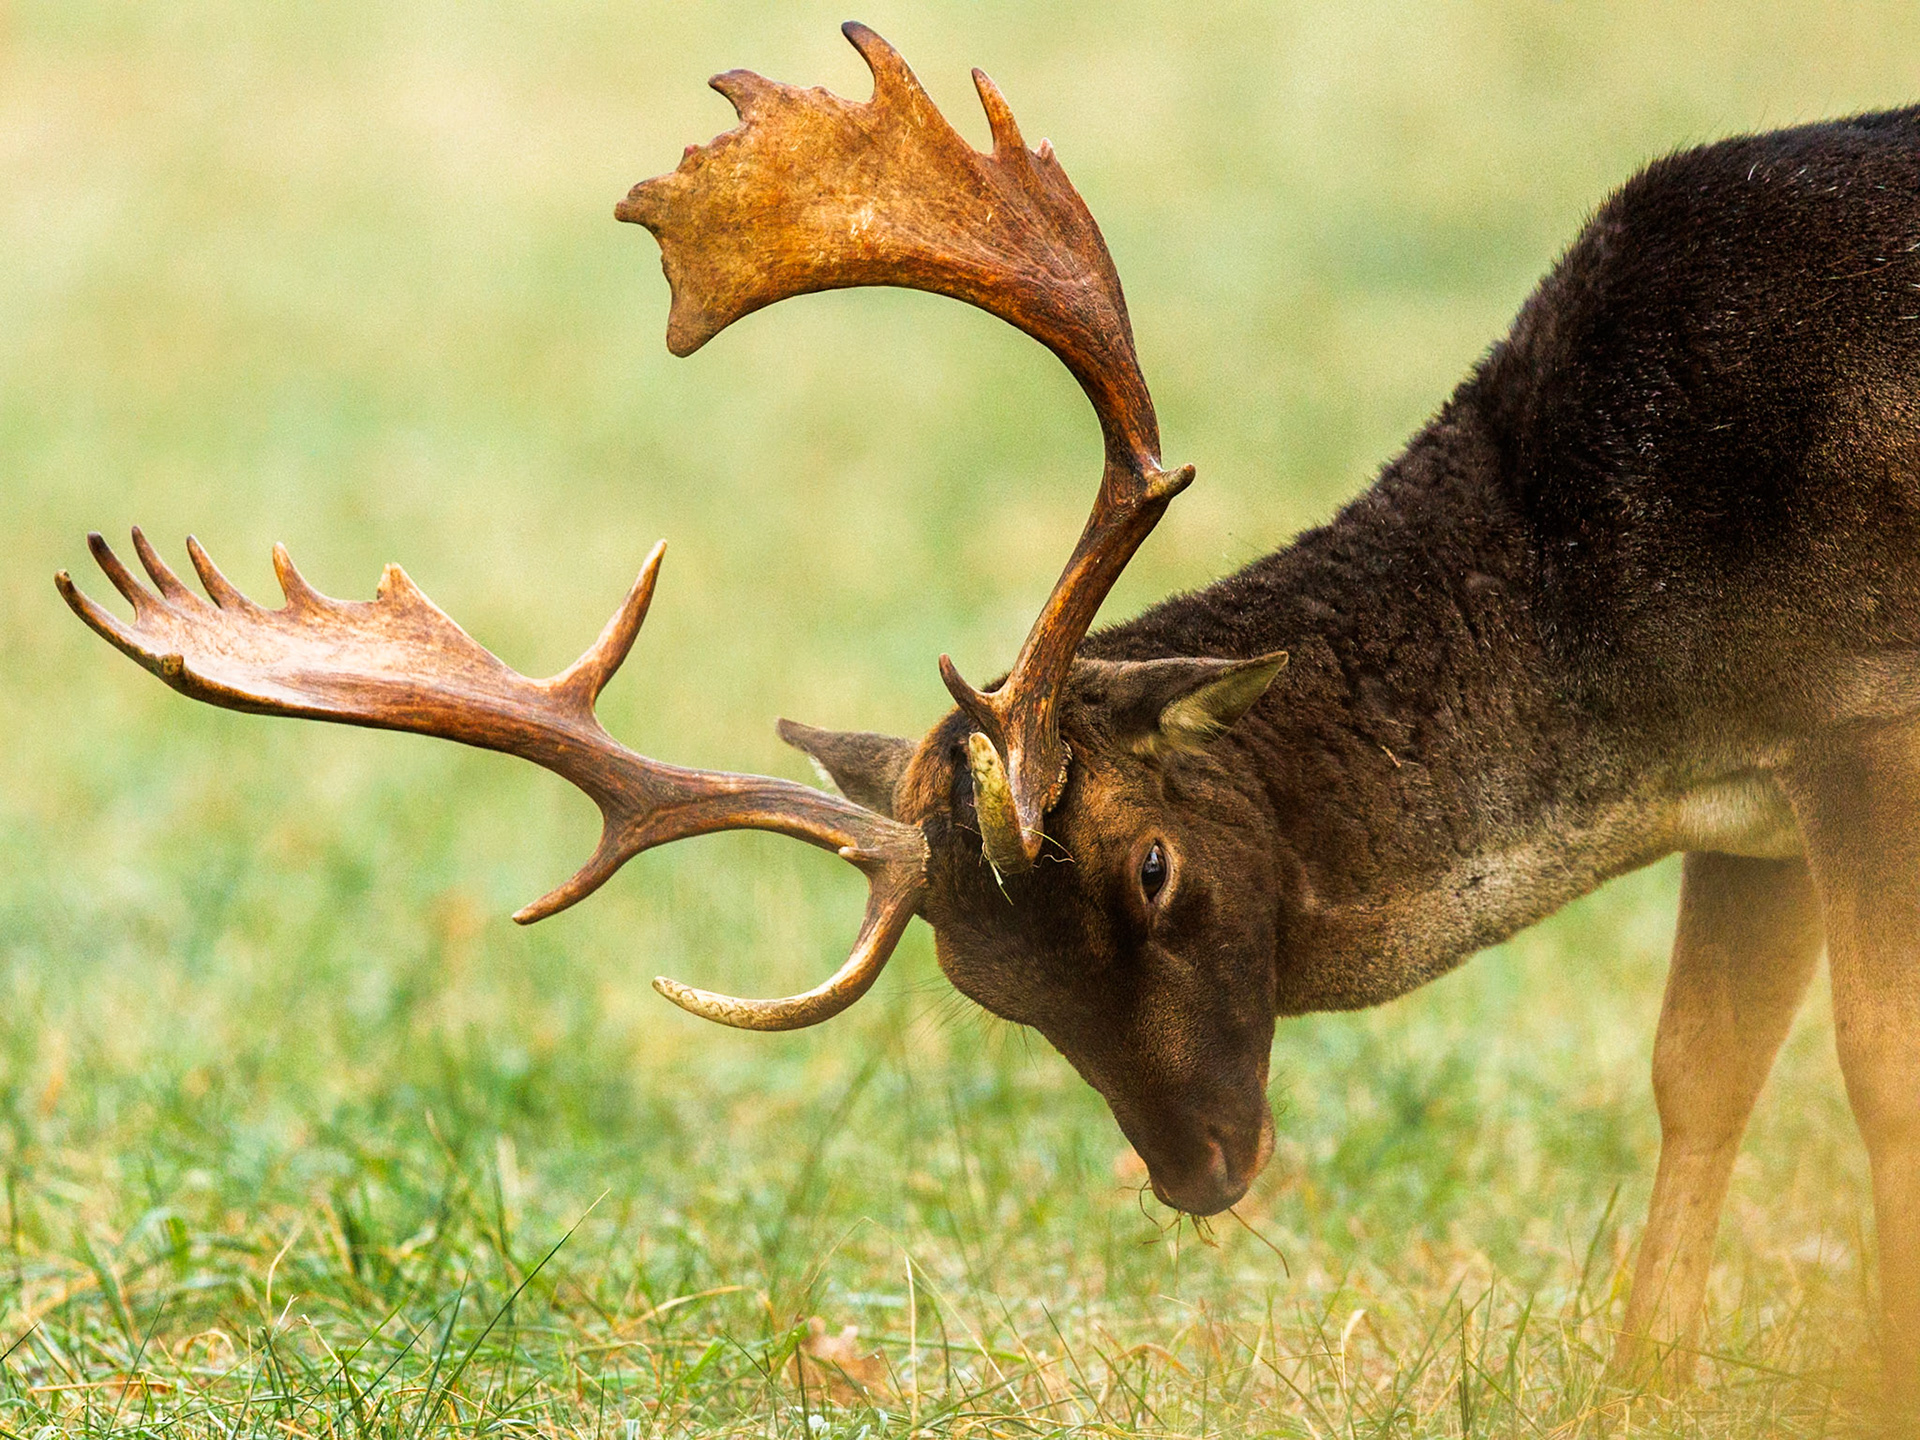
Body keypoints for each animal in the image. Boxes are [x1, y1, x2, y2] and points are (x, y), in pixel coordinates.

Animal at [54, 21, 1920, 1399]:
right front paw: (1643, 1381)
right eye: (984, 983)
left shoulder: (1858, 714)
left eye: (1156, 868)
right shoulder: (1752, 800)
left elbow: (1874, 1067)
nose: (1200, 1174)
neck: (1632, 639)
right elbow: (1698, 1073)